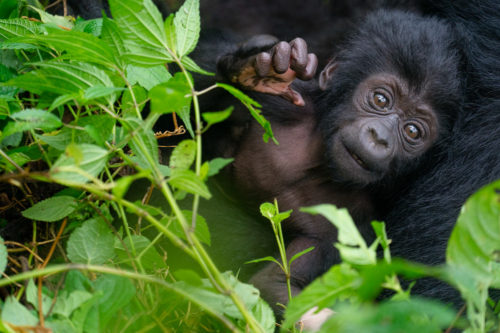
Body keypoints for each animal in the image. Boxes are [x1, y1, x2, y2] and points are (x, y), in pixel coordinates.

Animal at [213, 9, 462, 322]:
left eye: (413, 131)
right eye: (380, 99)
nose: (380, 137)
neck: (319, 165)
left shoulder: (351, 226)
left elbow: (275, 284)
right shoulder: (288, 105)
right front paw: (257, 67)